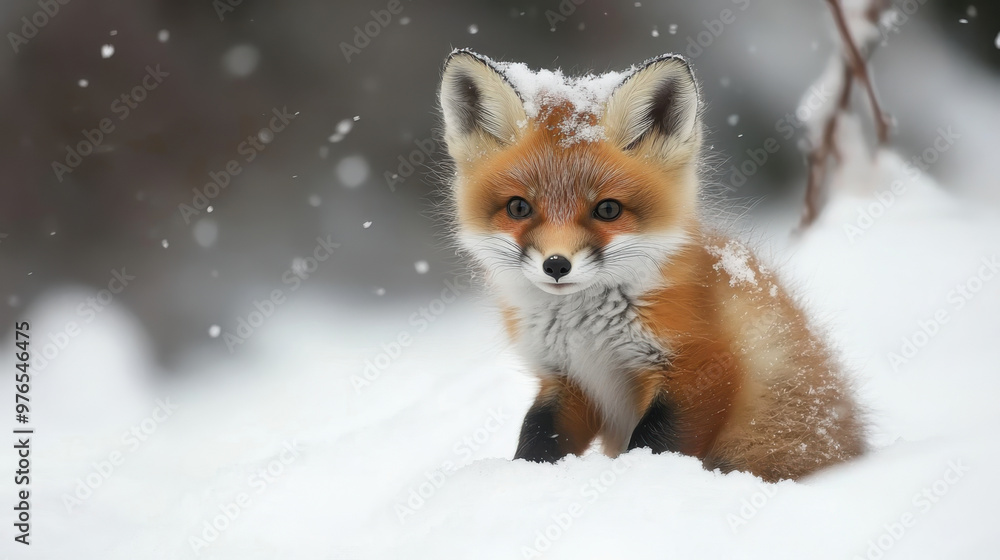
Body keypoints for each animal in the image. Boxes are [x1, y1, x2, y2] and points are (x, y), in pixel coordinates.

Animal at [438, 49, 865, 482]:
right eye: (518, 208)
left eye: (608, 210)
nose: (556, 265)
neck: (586, 332)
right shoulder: (569, 379)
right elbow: (538, 432)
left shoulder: (704, 364)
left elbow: (657, 442)